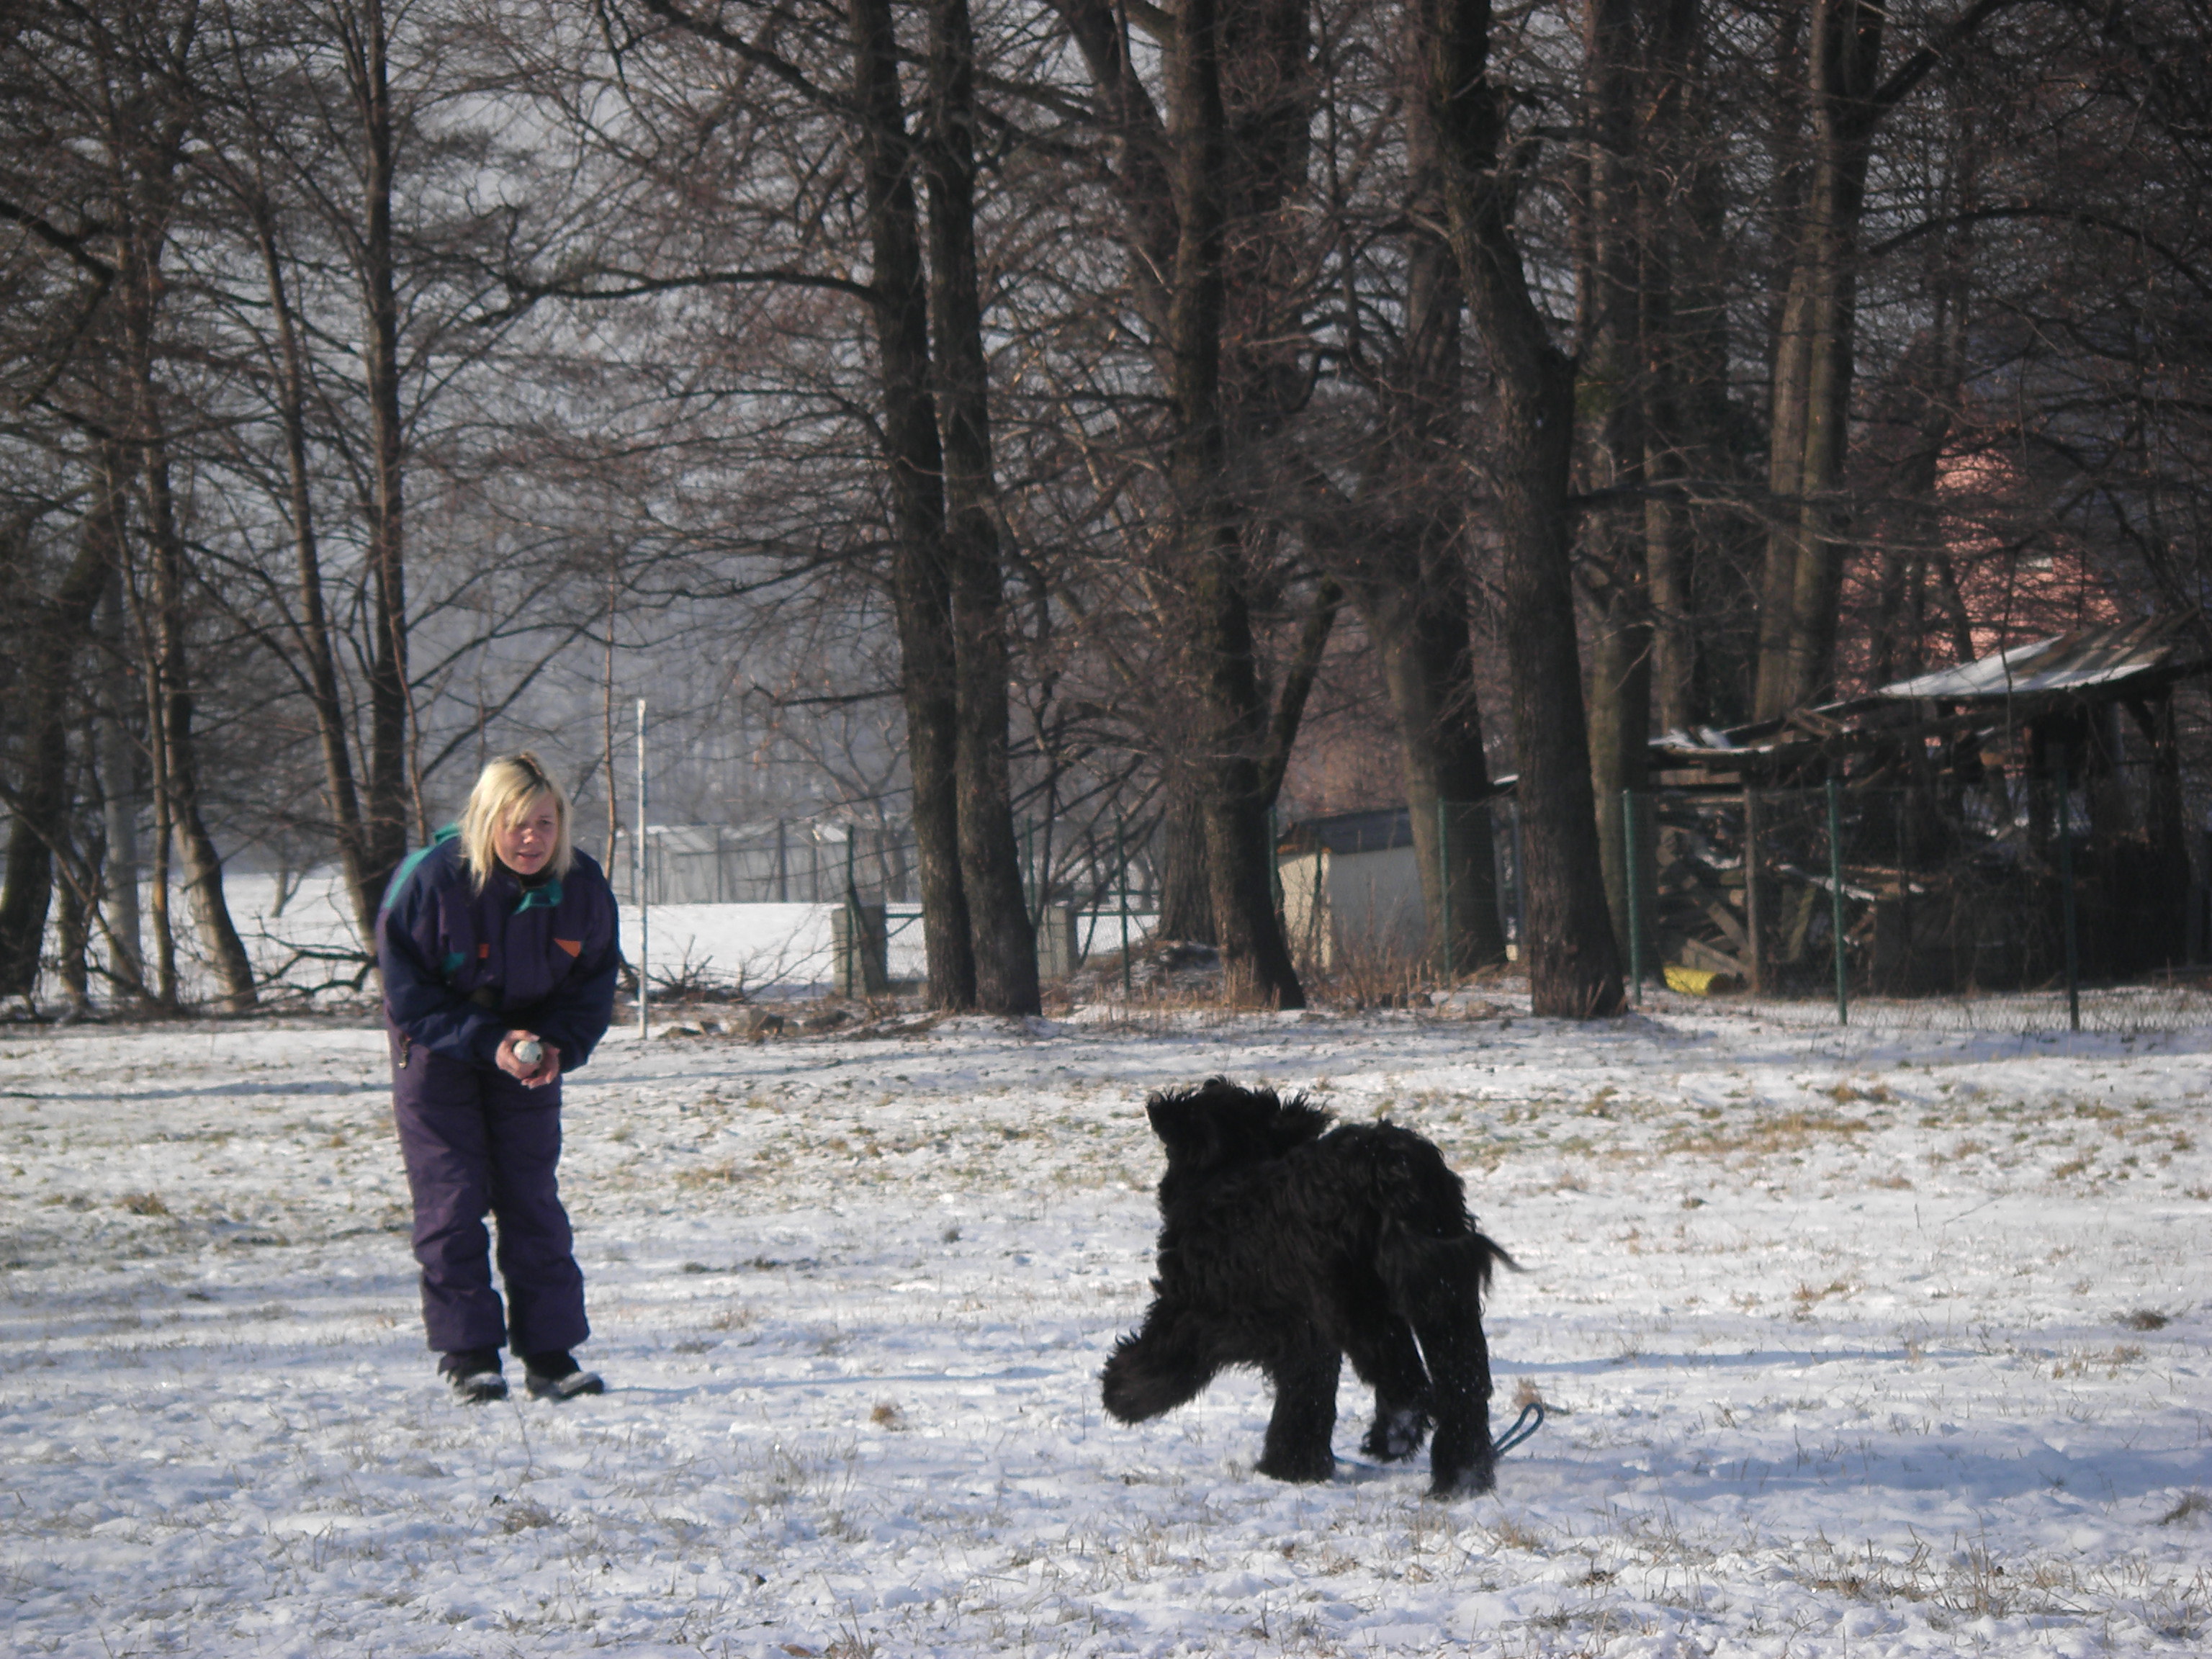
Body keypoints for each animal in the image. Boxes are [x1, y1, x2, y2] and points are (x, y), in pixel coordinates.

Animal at [1101, 1084, 1513, 1503]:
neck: (1223, 1176)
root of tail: (1393, 1164)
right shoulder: (1305, 1337)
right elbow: (1306, 1399)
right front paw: (1294, 1468)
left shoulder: (1187, 1312)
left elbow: (1157, 1363)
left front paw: (1119, 1394)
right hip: (1442, 1292)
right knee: (1463, 1383)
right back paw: (1463, 1476)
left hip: (1354, 1299)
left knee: (1407, 1381)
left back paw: (1394, 1437)